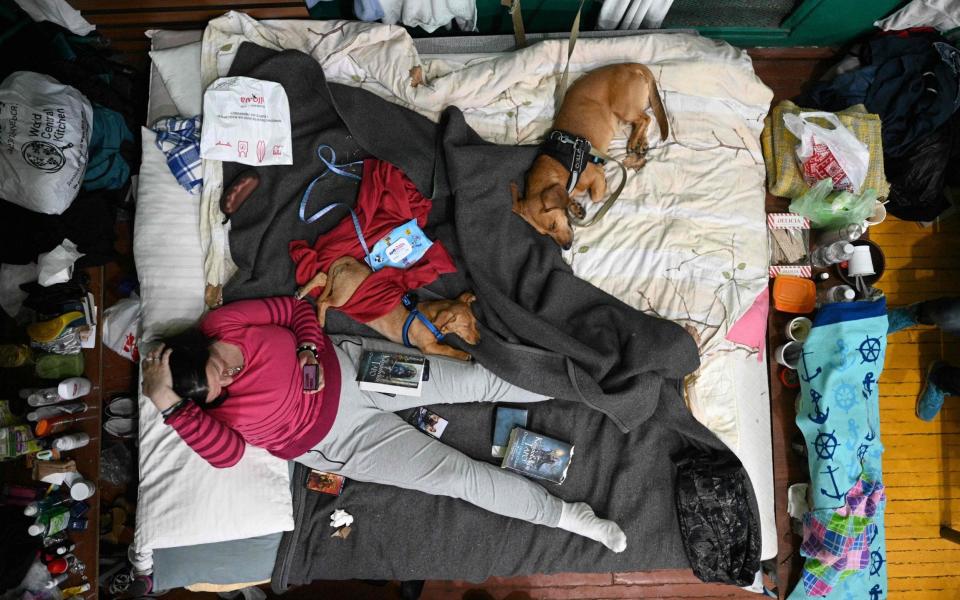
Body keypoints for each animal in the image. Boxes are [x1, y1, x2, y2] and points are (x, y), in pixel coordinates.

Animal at [296, 254, 480, 360]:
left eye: (474, 323)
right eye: (465, 326)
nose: (479, 342)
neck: (429, 319)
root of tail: (351, 262)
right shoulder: (428, 347)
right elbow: (448, 348)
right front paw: (463, 354)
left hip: (338, 285)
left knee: (322, 276)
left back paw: (301, 292)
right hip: (343, 296)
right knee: (324, 302)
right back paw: (320, 319)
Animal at [510, 61, 668, 248]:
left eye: (553, 225)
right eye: (545, 234)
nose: (566, 247)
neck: (559, 168)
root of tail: (628, 64)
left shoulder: (594, 175)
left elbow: (596, 195)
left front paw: (601, 188)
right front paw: (574, 206)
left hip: (624, 108)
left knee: (645, 118)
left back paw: (633, 140)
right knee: (642, 120)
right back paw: (640, 142)